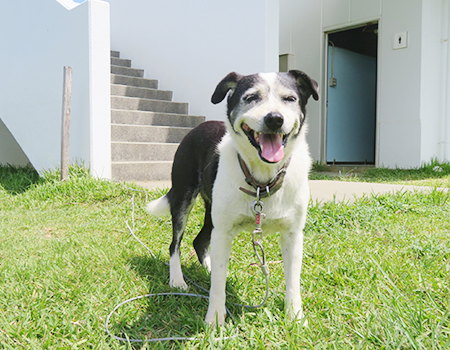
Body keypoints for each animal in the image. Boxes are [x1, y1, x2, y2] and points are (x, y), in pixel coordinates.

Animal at [146, 71, 318, 326]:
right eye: (251, 97)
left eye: (290, 99)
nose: (274, 119)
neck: (262, 181)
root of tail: (201, 125)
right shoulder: (223, 231)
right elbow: (218, 285)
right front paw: (215, 320)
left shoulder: (293, 234)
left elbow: (293, 283)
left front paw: (295, 318)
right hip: (183, 198)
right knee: (175, 243)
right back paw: (177, 279)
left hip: (212, 211)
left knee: (200, 241)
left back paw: (206, 268)